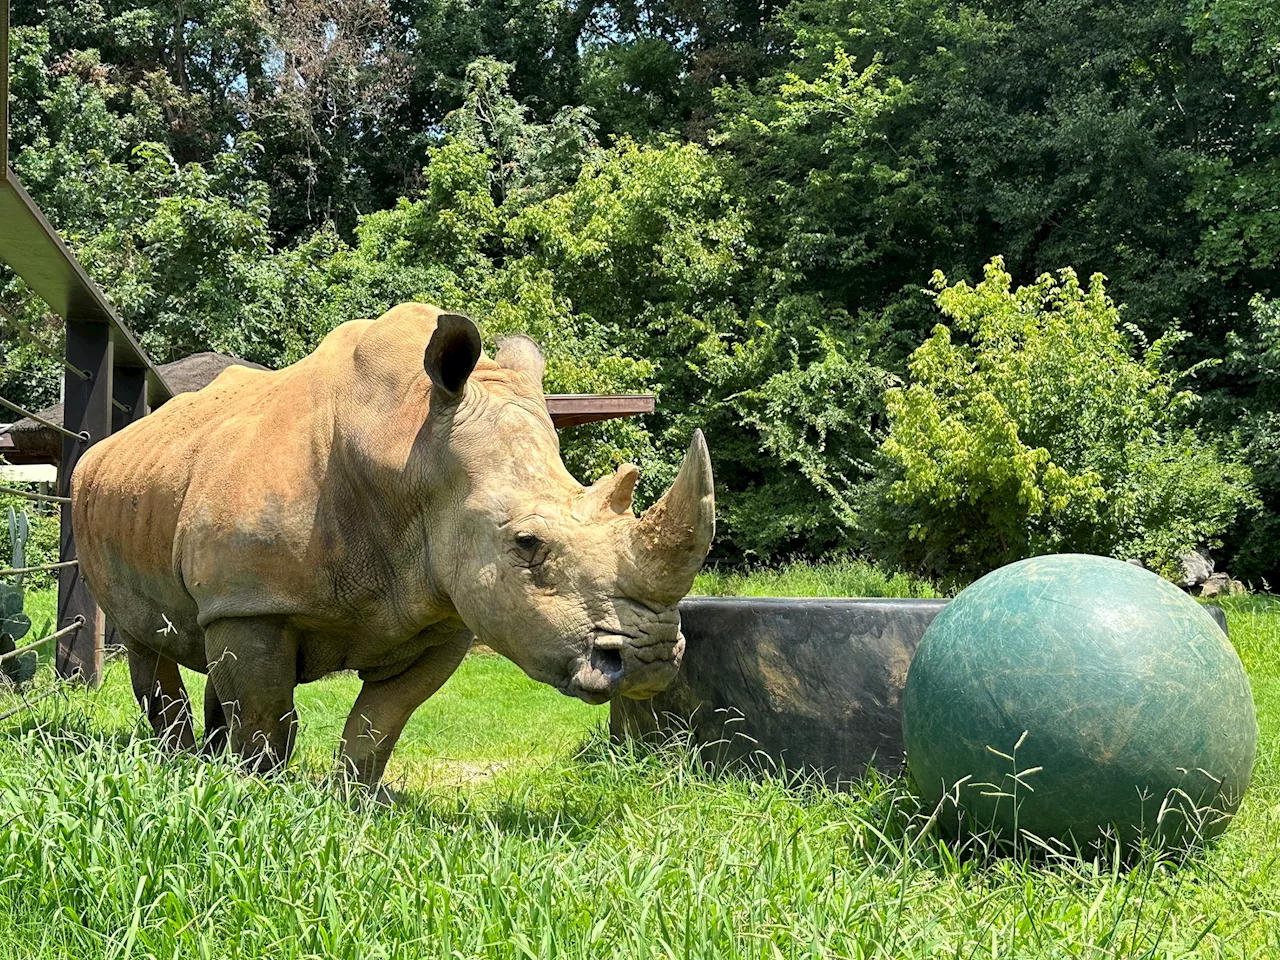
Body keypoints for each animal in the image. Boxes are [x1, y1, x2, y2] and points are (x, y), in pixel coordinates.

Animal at [70, 304, 716, 783]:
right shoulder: (254, 601)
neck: (409, 446)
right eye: (528, 543)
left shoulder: (443, 610)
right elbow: (263, 718)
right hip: (102, 504)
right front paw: (257, 795)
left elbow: (380, 722)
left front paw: (353, 803)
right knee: (144, 640)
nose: (652, 660)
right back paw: (177, 763)